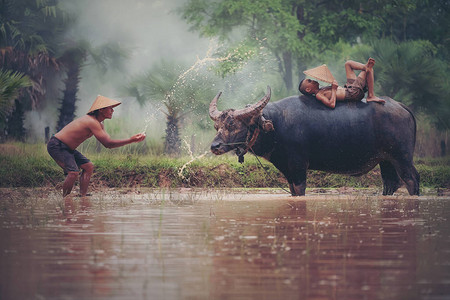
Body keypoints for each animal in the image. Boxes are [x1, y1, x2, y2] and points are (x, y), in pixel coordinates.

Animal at [209, 85, 420, 196]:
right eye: (217, 126)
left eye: (233, 125)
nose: (215, 146)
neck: (277, 124)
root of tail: (401, 107)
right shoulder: (288, 171)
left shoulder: (298, 168)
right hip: (386, 160)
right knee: (390, 183)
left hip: (402, 157)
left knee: (412, 179)